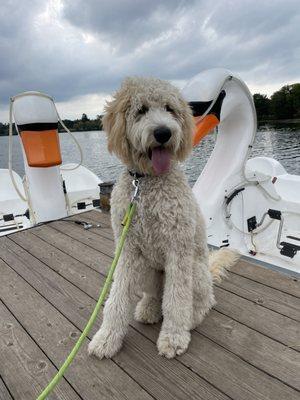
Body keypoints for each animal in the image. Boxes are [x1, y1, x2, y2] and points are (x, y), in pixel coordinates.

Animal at [88, 76, 238, 358]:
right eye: (141, 110)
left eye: (170, 109)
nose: (163, 133)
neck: (146, 183)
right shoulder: (127, 250)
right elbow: (117, 297)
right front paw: (106, 338)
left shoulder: (177, 248)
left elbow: (176, 301)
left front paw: (174, 337)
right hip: (147, 268)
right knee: (155, 296)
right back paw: (148, 308)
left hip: (195, 270)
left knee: (204, 301)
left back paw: (192, 318)